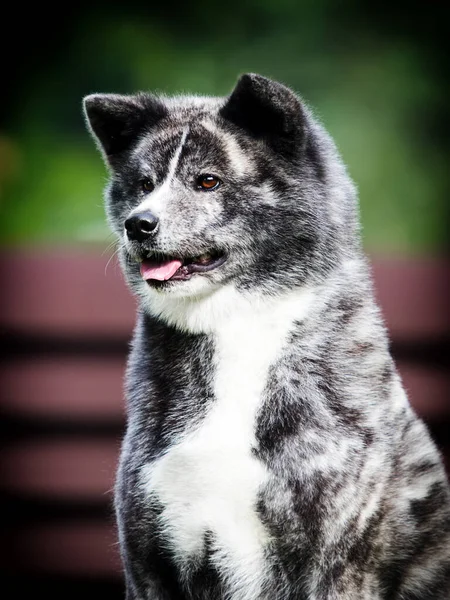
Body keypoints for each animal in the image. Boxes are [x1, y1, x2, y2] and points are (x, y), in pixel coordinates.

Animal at [82, 75, 448, 600]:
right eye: (144, 184)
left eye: (208, 181)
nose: (139, 224)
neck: (236, 326)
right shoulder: (150, 563)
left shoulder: (333, 565)